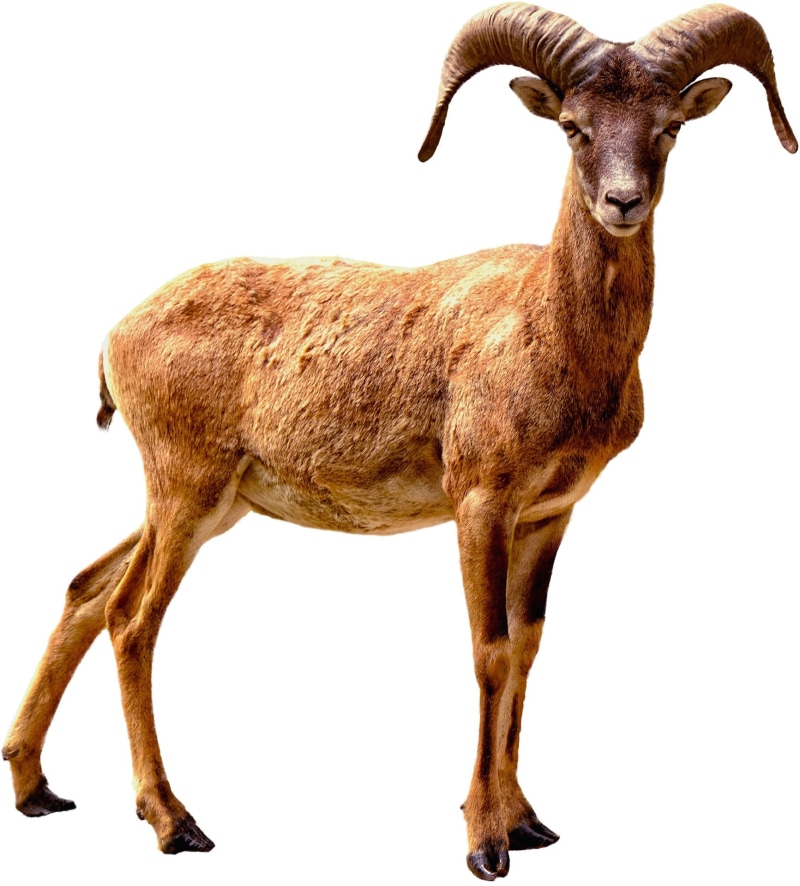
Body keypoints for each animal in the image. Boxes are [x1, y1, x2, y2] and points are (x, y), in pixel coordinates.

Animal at [3, 3, 795, 881]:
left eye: (669, 129)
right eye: (573, 127)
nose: (622, 202)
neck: (548, 331)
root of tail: (115, 334)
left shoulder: (549, 515)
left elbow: (528, 648)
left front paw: (529, 821)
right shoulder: (481, 502)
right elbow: (489, 651)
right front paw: (485, 842)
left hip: (214, 504)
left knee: (86, 587)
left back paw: (37, 788)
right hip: (184, 488)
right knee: (132, 618)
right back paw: (175, 822)